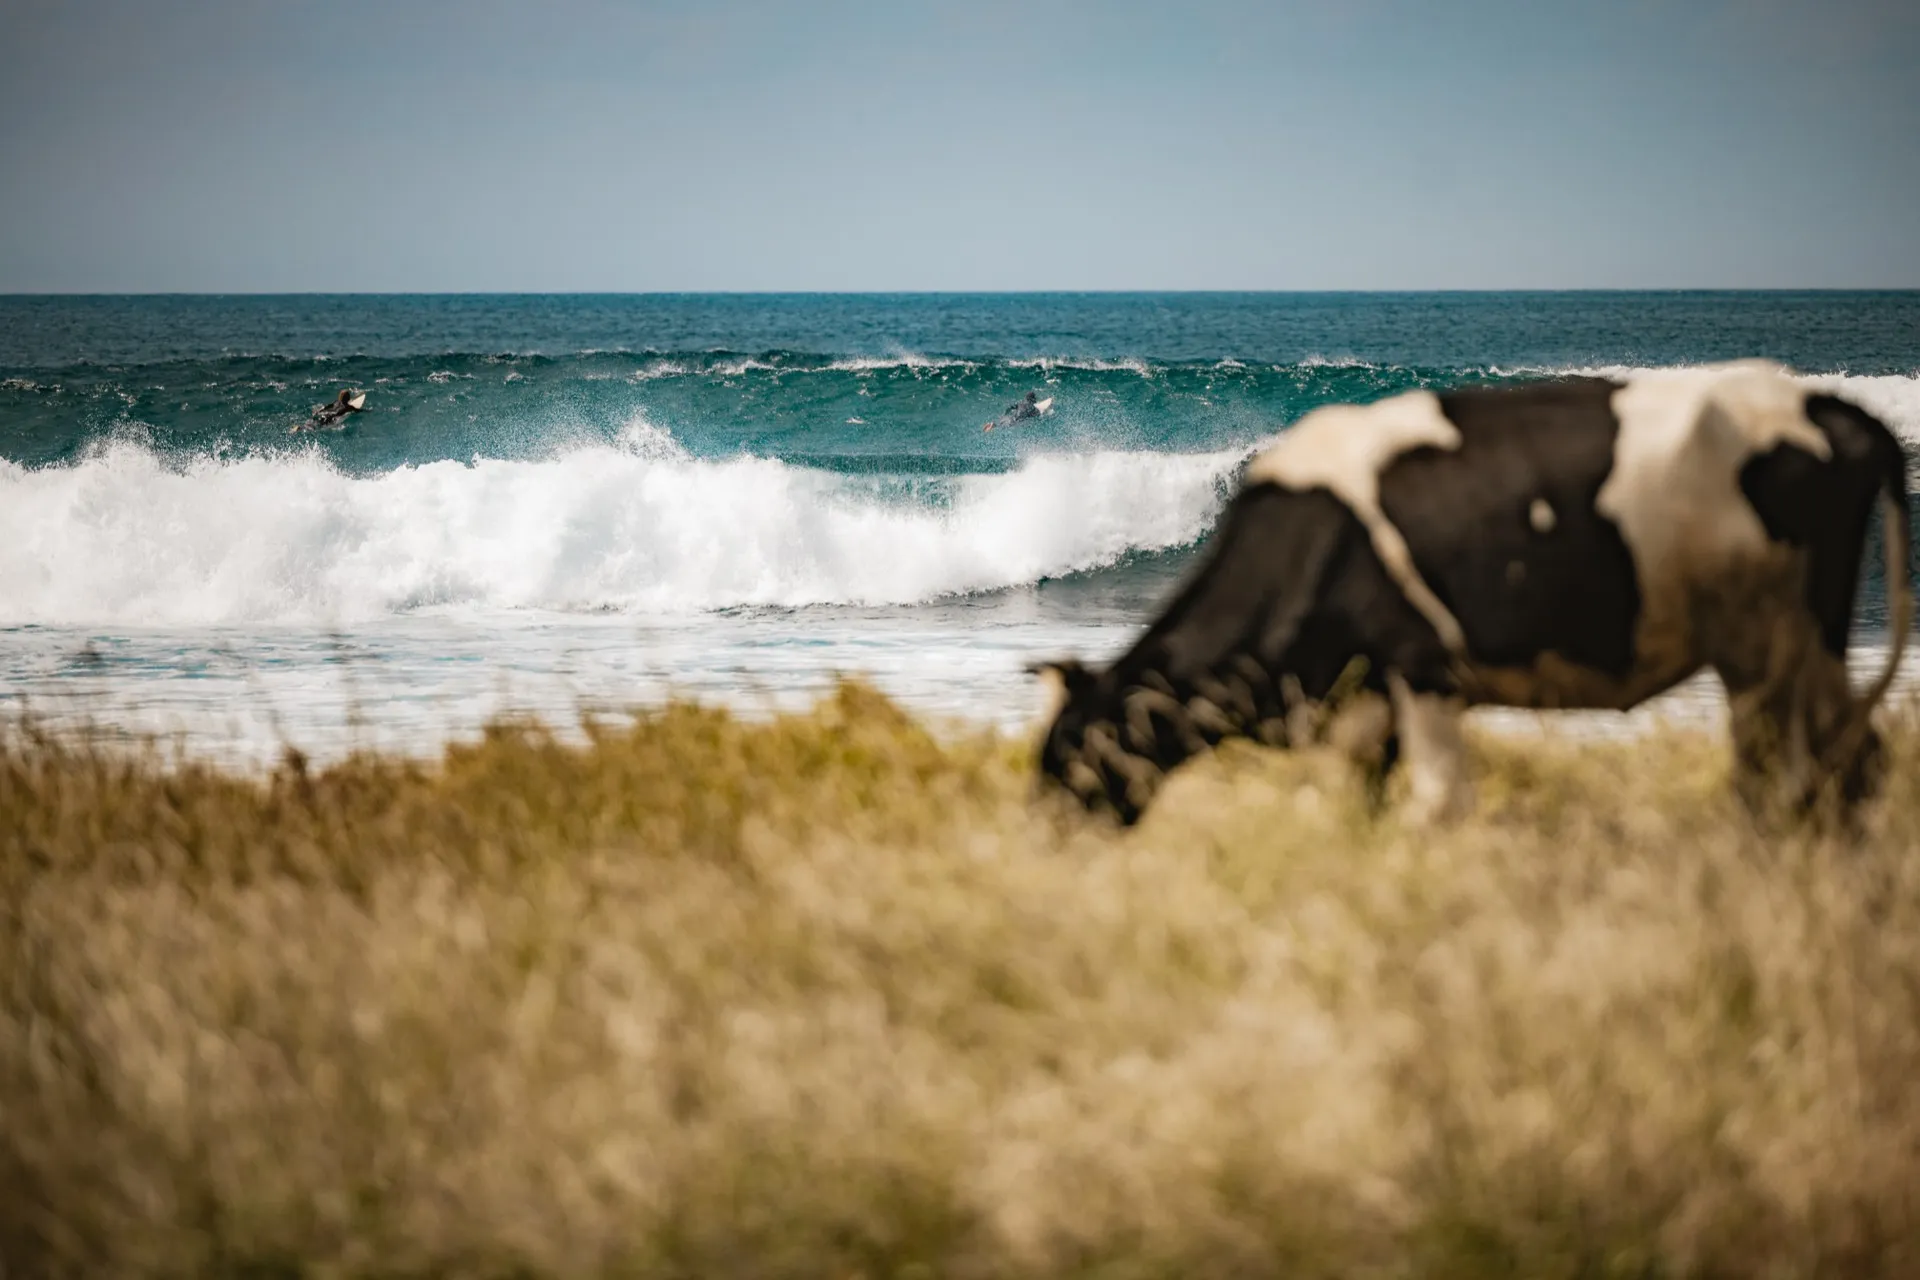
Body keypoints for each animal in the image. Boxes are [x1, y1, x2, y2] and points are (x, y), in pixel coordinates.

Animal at [1032, 361, 1913, 827]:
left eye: (1068, 754)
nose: (1043, 841)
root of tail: (1837, 410)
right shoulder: (1364, 711)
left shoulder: (1422, 671)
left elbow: (1435, 807)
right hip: (1777, 655)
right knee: (1835, 766)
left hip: (1779, 643)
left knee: (1800, 778)